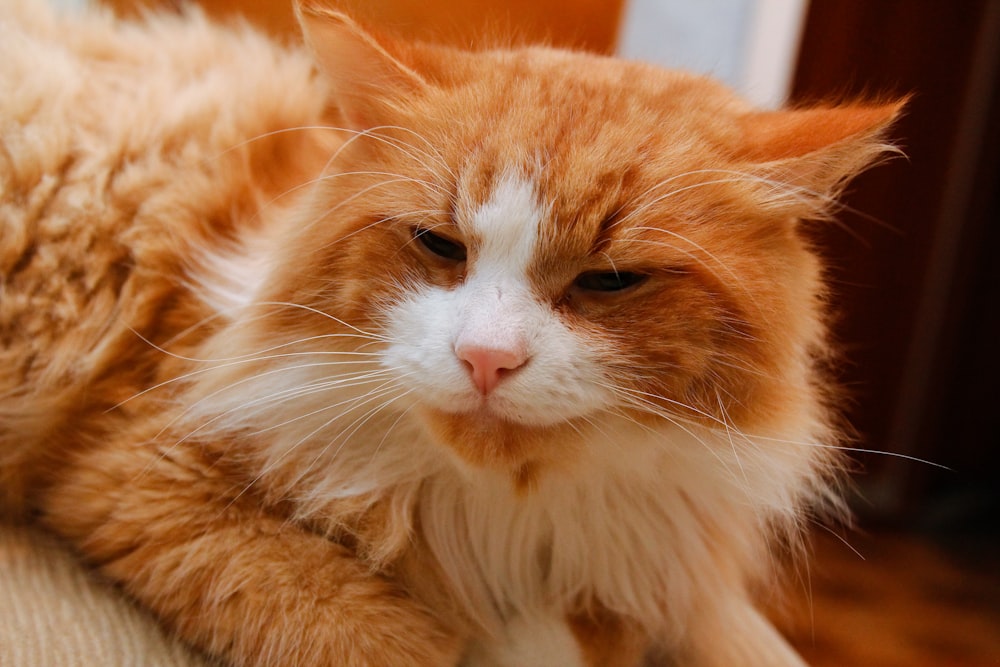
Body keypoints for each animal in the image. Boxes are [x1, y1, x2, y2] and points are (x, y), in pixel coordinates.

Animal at [0, 1, 904, 667]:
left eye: (608, 281)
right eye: (440, 244)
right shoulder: (142, 474)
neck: (503, 522)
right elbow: (385, 638)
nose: (486, 359)